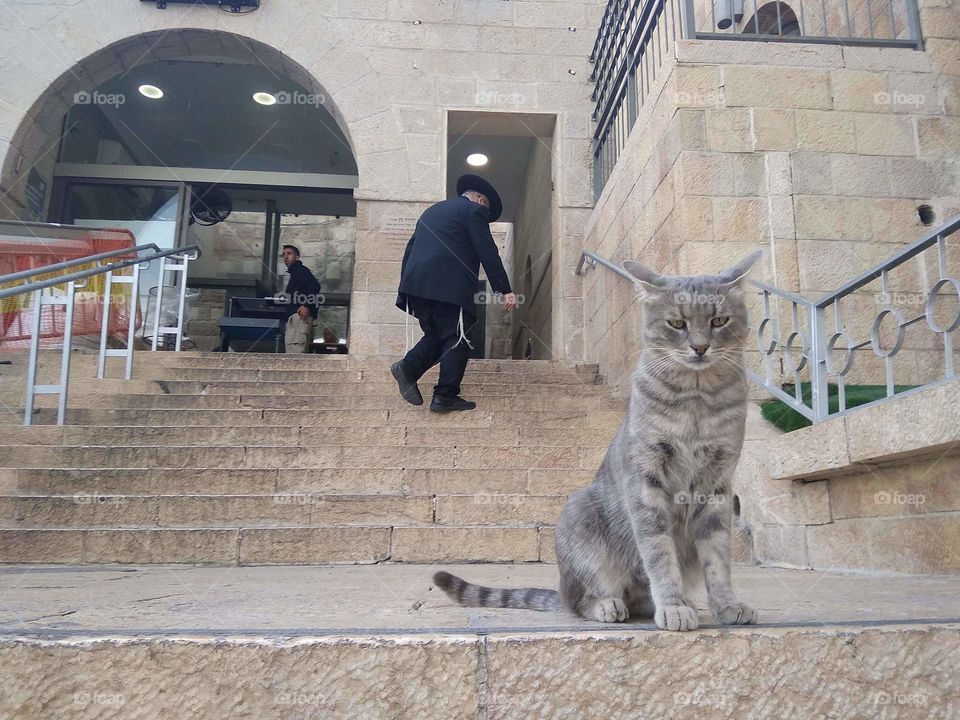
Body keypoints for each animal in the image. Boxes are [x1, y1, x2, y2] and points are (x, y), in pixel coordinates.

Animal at [432, 252, 760, 632]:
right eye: (676, 323)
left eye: (719, 320)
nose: (700, 347)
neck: (697, 399)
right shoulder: (646, 479)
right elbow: (659, 553)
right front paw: (673, 607)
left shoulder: (718, 482)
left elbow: (718, 557)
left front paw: (727, 605)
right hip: (581, 518)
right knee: (582, 600)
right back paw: (609, 605)